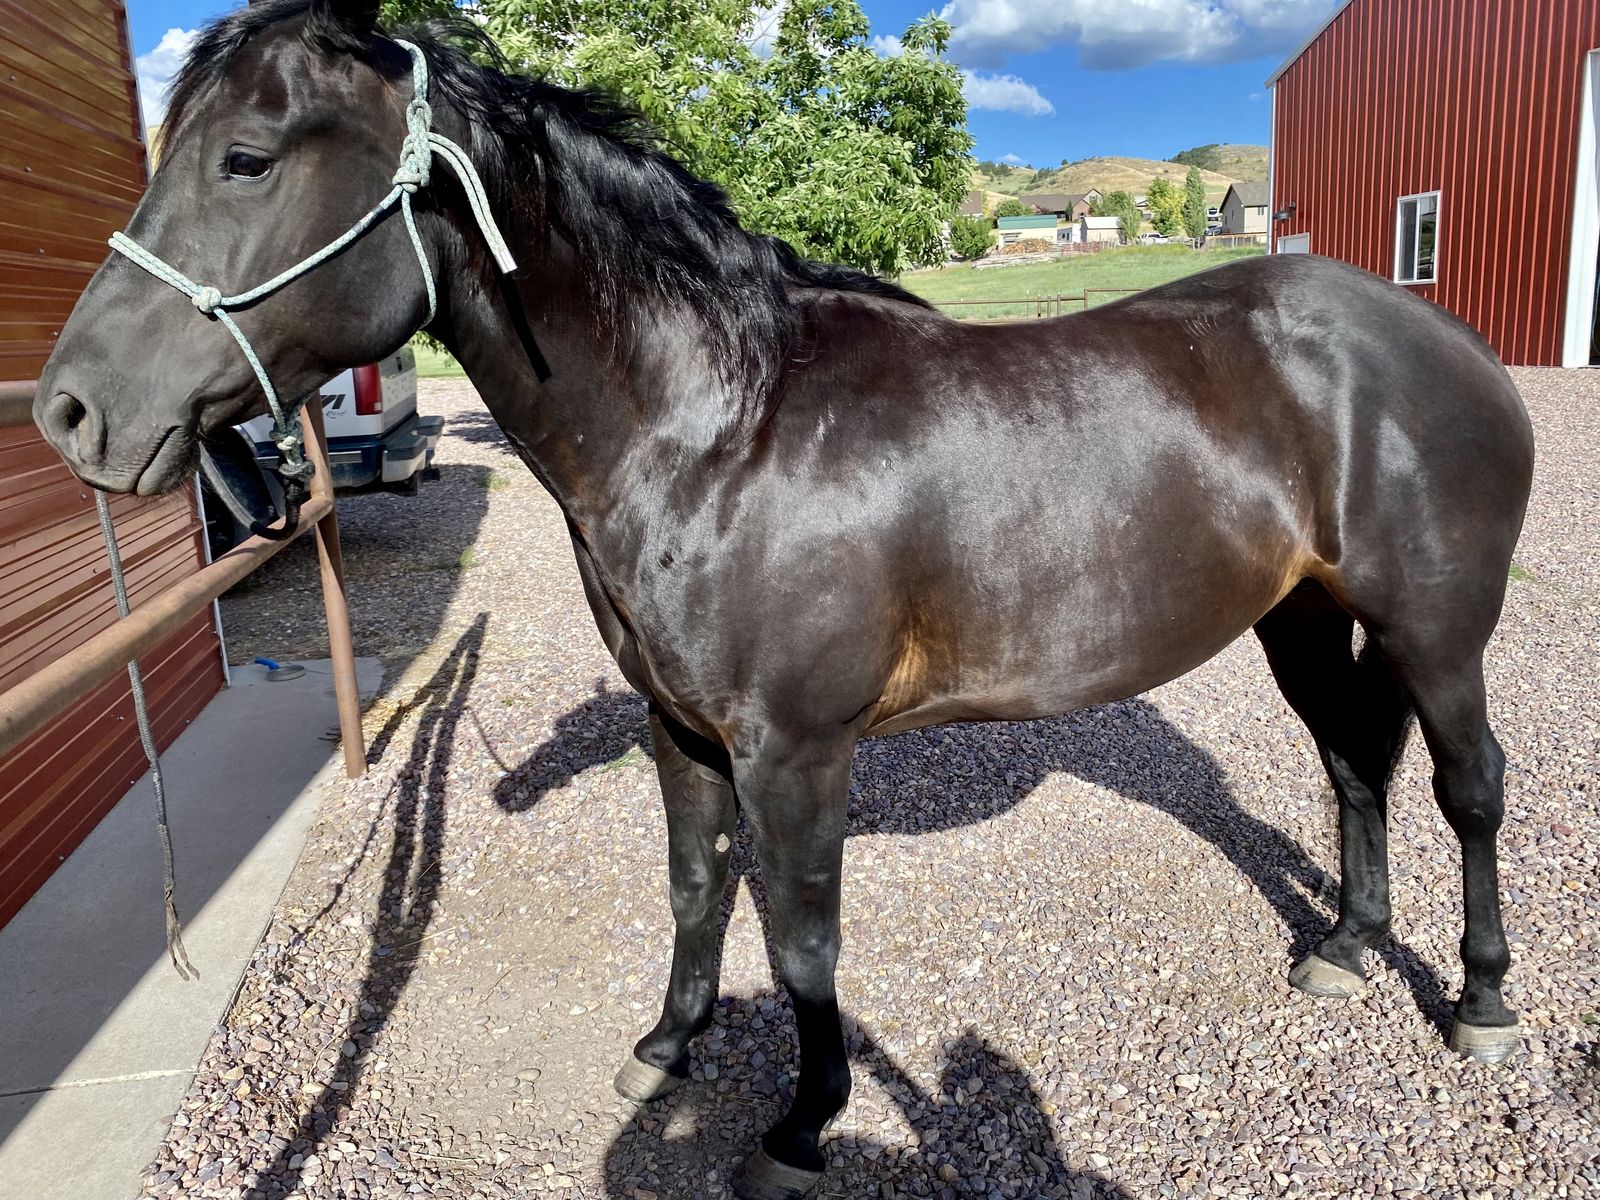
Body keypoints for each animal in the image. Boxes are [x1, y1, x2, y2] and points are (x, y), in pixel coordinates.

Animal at [34, 2, 1535, 1195]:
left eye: (245, 159)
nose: (70, 412)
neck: (718, 429)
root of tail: (1441, 335)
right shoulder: (683, 730)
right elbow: (699, 890)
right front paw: (667, 1048)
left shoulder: (795, 750)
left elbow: (803, 939)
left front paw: (803, 1123)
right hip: (1302, 616)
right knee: (1353, 762)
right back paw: (1344, 947)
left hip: (1438, 630)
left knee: (1466, 784)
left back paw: (1478, 1001)